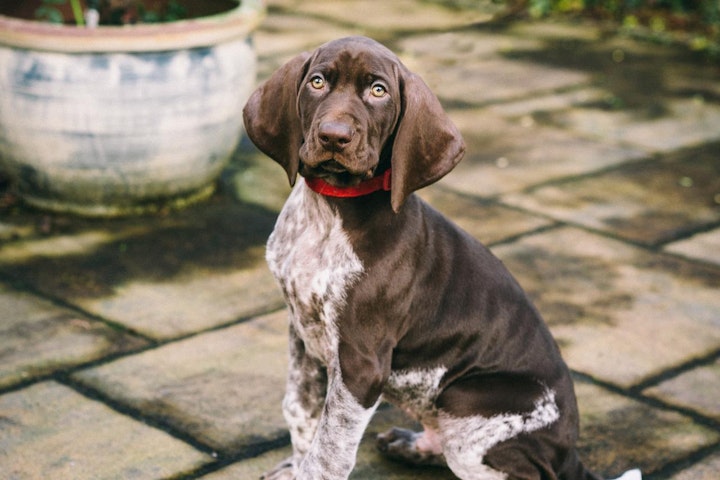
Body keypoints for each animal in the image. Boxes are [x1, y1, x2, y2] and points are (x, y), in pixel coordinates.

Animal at [243, 36, 640, 480]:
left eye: (378, 91)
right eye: (316, 82)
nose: (333, 136)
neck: (330, 211)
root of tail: (570, 454)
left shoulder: (362, 364)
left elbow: (329, 452)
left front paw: (307, 469)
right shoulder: (302, 333)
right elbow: (299, 409)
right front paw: (294, 465)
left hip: (466, 399)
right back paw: (413, 445)